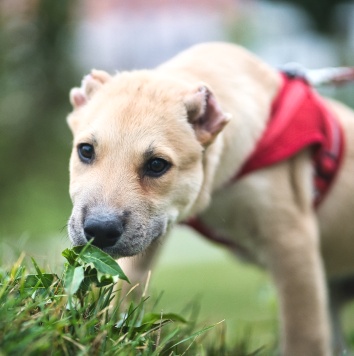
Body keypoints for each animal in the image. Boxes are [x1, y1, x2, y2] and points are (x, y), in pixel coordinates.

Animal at [65, 43, 354, 354]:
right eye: (85, 150)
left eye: (157, 165)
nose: (100, 230)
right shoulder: (153, 232)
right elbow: (127, 288)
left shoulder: (292, 244)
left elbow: (304, 335)